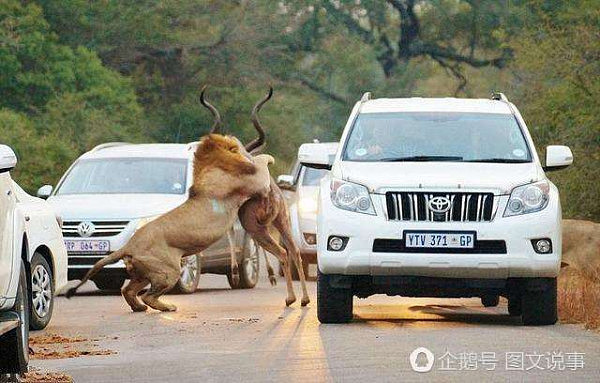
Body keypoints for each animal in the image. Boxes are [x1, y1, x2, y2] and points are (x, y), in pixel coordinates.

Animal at [64, 88, 274, 316]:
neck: (211, 165)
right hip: (169, 269)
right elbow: (262, 163)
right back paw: (168, 306)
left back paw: (139, 308)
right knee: (148, 295)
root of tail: (128, 246)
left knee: (128, 291)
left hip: (142, 274)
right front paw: (267, 158)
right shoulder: (256, 183)